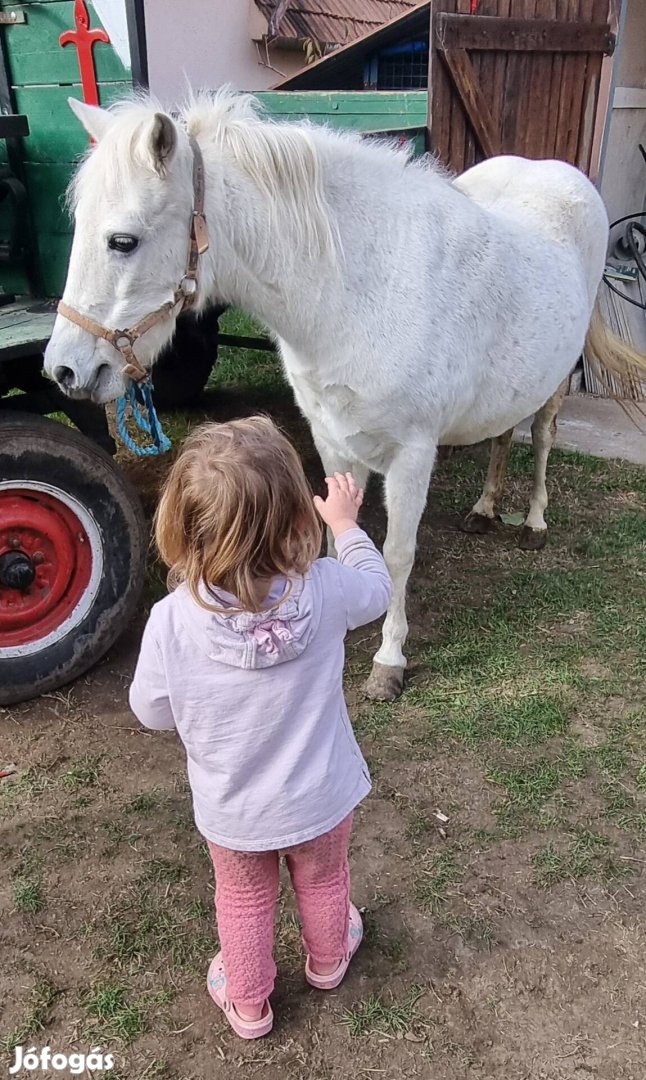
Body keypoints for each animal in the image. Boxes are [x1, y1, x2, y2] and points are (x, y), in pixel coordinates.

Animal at [44, 92, 643, 699]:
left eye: (123, 241)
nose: (63, 369)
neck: (360, 290)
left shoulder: (412, 455)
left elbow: (399, 554)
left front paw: (389, 660)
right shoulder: (330, 437)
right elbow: (336, 536)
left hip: (557, 380)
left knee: (541, 437)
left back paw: (534, 524)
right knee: (502, 435)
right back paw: (484, 509)